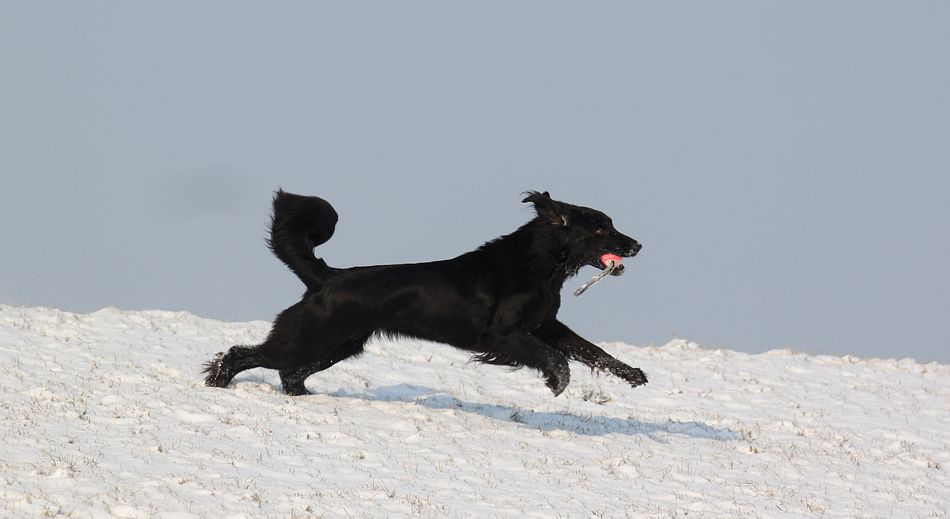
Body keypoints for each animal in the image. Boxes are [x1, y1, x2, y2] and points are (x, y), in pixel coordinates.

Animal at [204, 190, 647, 396]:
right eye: (601, 229)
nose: (637, 245)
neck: (538, 265)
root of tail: (327, 276)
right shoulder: (502, 335)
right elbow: (556, 358)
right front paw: (557, 382)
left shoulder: (546, 325)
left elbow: (591, 350)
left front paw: (634, 374)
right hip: (309, 336)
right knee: (243, 354)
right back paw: (217, 383)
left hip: (338, 344)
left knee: (288, 372)